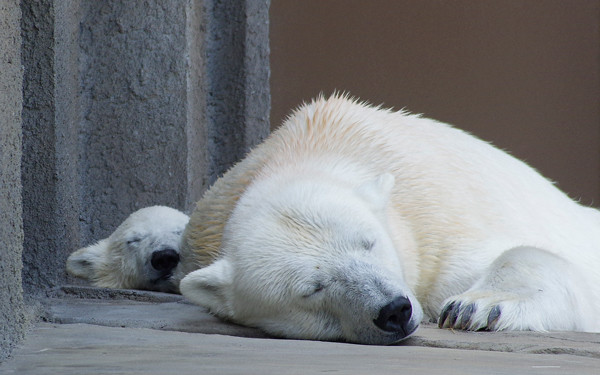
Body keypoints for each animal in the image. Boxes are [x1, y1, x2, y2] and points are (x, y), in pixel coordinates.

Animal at [65, 94, 600, 346]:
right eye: (312, 289)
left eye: (369, 243)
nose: (394, 311)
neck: (315, 144)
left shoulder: (435, 221)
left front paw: (476, 306)